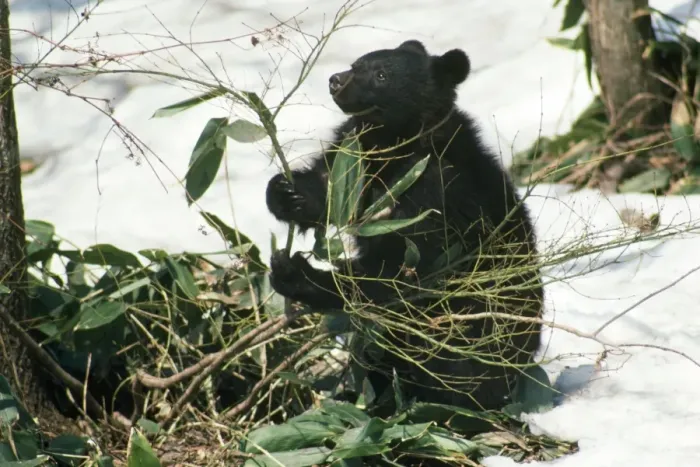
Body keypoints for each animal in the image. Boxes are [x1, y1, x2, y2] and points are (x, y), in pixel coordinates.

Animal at [265, 39, 544, 415]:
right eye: (356, 64)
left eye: (381, 75)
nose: (336, 80)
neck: (393, 140)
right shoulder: (356, 156)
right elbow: (330, 188)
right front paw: (285, 192)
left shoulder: (436, 195)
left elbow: (397, 271)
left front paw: (295, 273)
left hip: (469, 333)